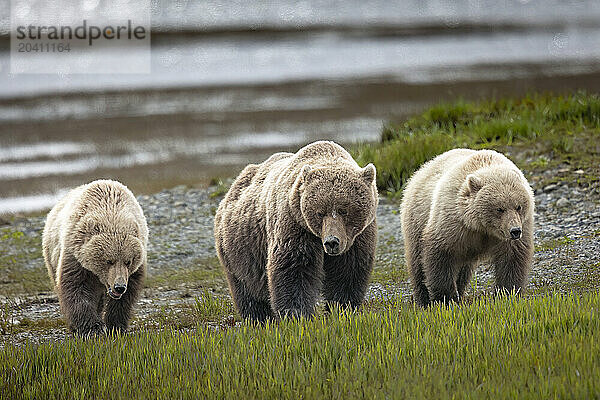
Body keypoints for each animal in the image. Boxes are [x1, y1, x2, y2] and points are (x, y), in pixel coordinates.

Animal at [42, 180, 148, 336]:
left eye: (128, 261)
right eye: (109, 261)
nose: (119, 287)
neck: (111, 212)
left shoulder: (135, 268)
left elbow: (126, 296)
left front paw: (116, 325)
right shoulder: (76, 256)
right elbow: (76, 287)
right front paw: (92, 328)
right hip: (51, 255)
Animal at [213, 142, 378, 320]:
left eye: (343, 210)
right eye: (320, 212)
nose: (331, 242)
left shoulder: (359, 236)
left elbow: (348, 270)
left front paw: (341, 309)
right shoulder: (295, 225)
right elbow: (293, 268)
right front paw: (297, 314)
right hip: (240, 249)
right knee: (247, 289)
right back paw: (258, 317)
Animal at [404, 149, 536, 306]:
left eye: (519, 206)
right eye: (499, 209)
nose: (515, 231)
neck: (482, 227)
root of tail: (421, 169)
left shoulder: (517, 229)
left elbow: (512, 259)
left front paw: (507, 293)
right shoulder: (452, 222)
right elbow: (440, 255)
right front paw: (446, 298)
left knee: (463, 271)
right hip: (416, 220)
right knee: (417, 264)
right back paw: (423, 300)